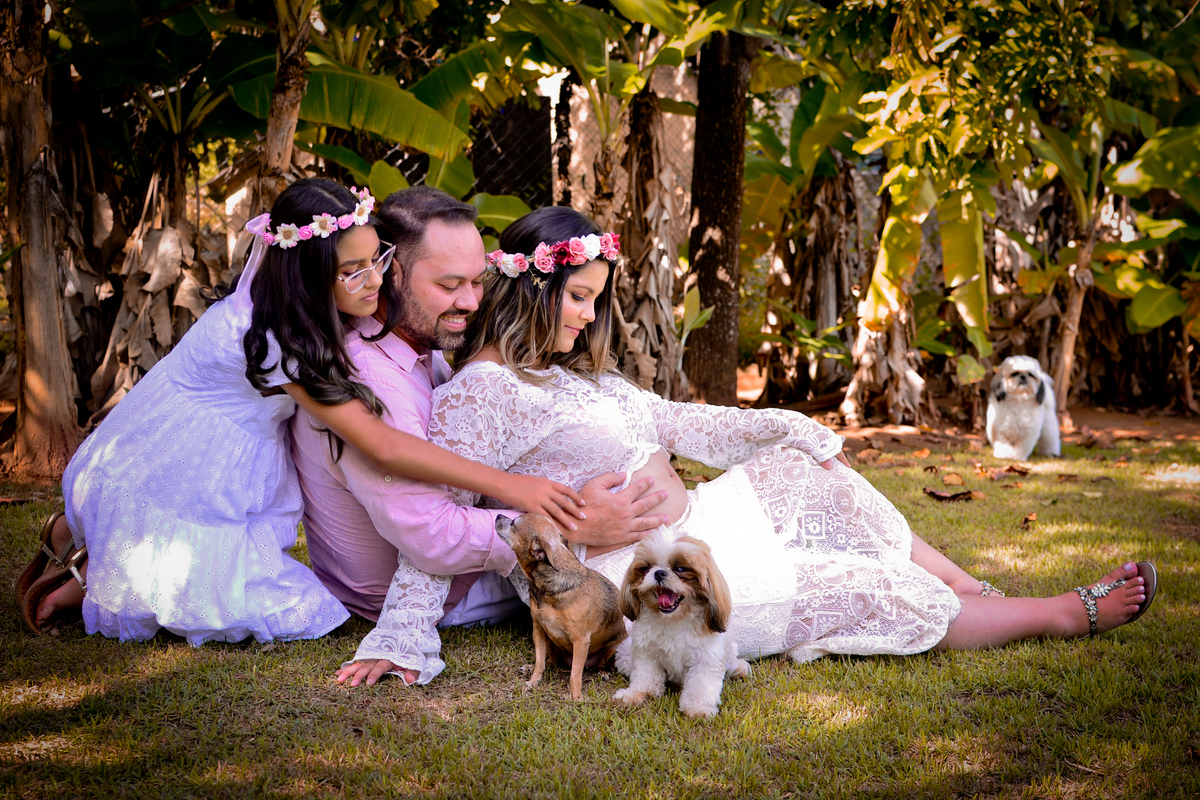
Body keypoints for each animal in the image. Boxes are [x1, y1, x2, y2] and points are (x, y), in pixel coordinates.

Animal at [495, 514, 627, 701]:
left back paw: (603, 671)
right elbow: (540, 661)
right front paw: (533, 681)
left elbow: (575, 675)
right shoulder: (539, 630)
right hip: (551, 642)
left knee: (599, 664)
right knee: (550, 661)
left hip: (614, 647)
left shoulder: (580, 641)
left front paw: (576, 697)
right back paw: (531, 667)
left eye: (513, 523)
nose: (498, 515)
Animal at [613, 527, 750, 719]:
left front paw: (698, 709)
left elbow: (701, 685)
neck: (674, 619)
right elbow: (645, 678)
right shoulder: (646, 654)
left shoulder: (706, 659)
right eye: (646, 568)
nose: (659, 572)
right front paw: (636, 694)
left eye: (680, 569)